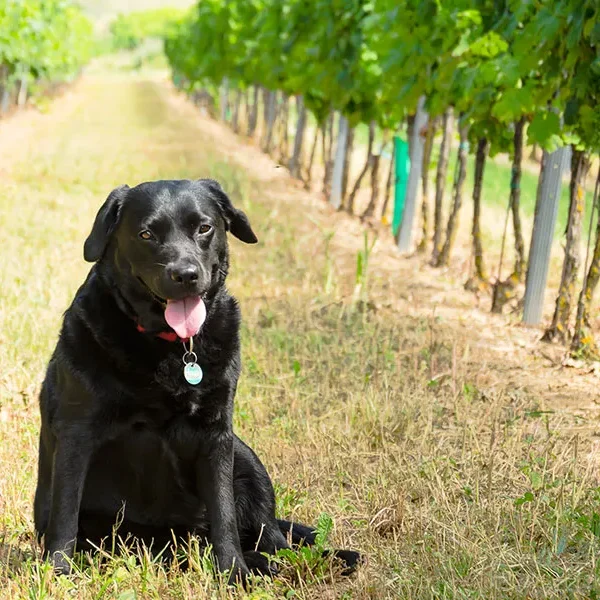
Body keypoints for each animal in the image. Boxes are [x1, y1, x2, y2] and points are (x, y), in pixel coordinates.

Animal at [34, 178, 360, 580]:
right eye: (146, 234)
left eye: (204, 227)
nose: (186, 274)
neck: (173, 346)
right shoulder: (76, 433)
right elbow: (65, 513)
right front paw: (57, 572)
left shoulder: (217, 434)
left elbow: (224, 513)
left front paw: (233, 572)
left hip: (245, 456)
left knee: (274, 539)